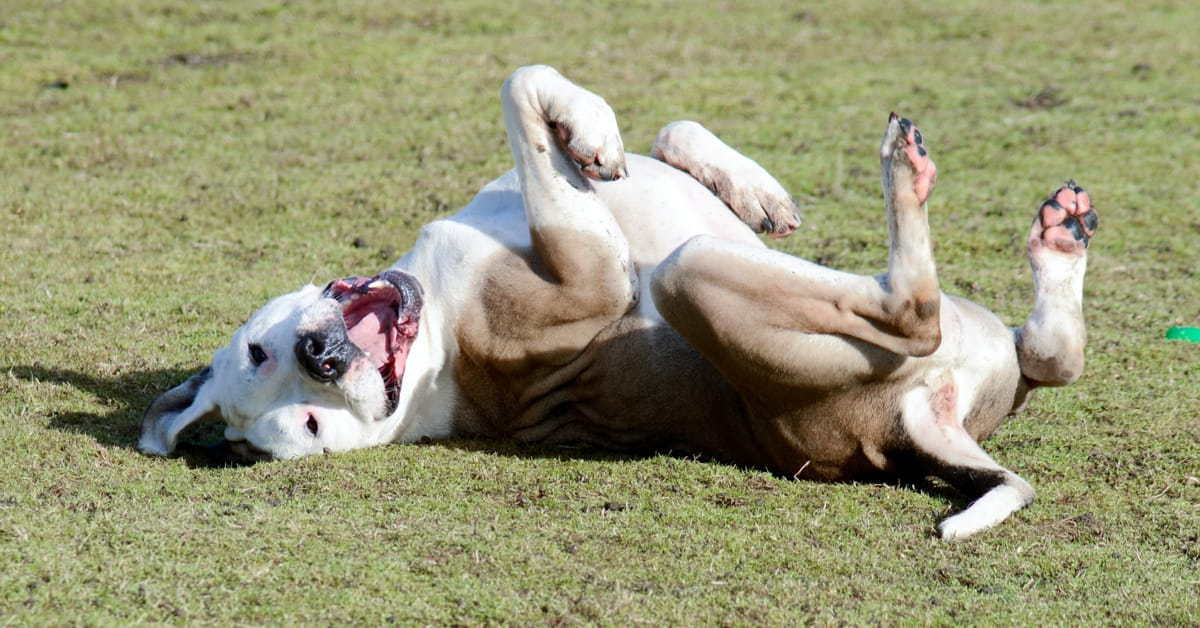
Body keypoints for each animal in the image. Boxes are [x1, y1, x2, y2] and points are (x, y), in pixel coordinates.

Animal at [140, 65, 1099, 540]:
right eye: (308, 426)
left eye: (261, 355)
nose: (325, 356)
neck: (438, 329)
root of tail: (909, 426)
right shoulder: (595, 276)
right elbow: (522, 87)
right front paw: (588, 132)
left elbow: (659, 129)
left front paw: (742, 184)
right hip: (696, 274)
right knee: (913, 309)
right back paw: (906, 172)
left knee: (1051, 355)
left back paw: (1059, 241)